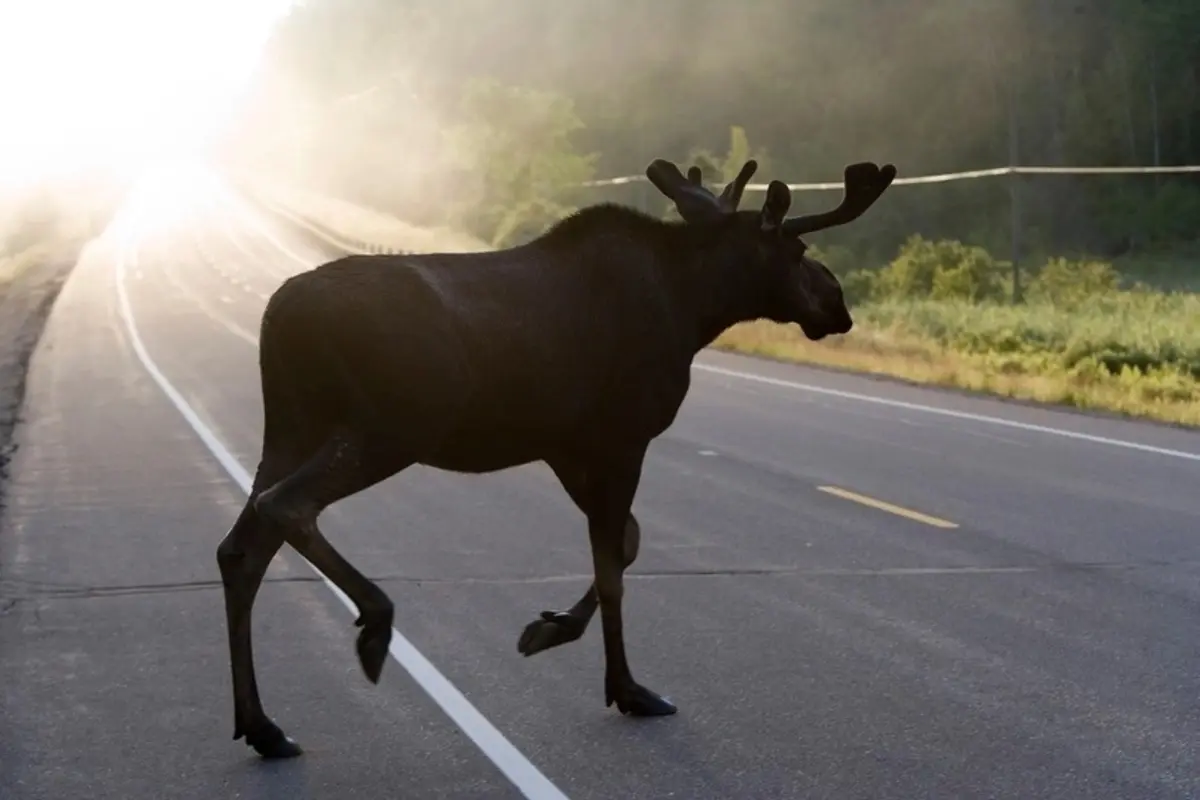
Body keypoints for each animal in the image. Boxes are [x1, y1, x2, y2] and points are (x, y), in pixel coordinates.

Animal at [216, 154, 897, 758]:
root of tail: (278, 316)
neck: (695, 308)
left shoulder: (567, 445)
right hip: (387, 427)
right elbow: (613, 565)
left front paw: (550, 628)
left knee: (240, 549)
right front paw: (627, 689)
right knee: (285, 506)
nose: (839, 304)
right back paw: (374, 623)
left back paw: (263, 726)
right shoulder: (621, 434)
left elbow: (626, 542)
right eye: (798, 253)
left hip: (291, 428)